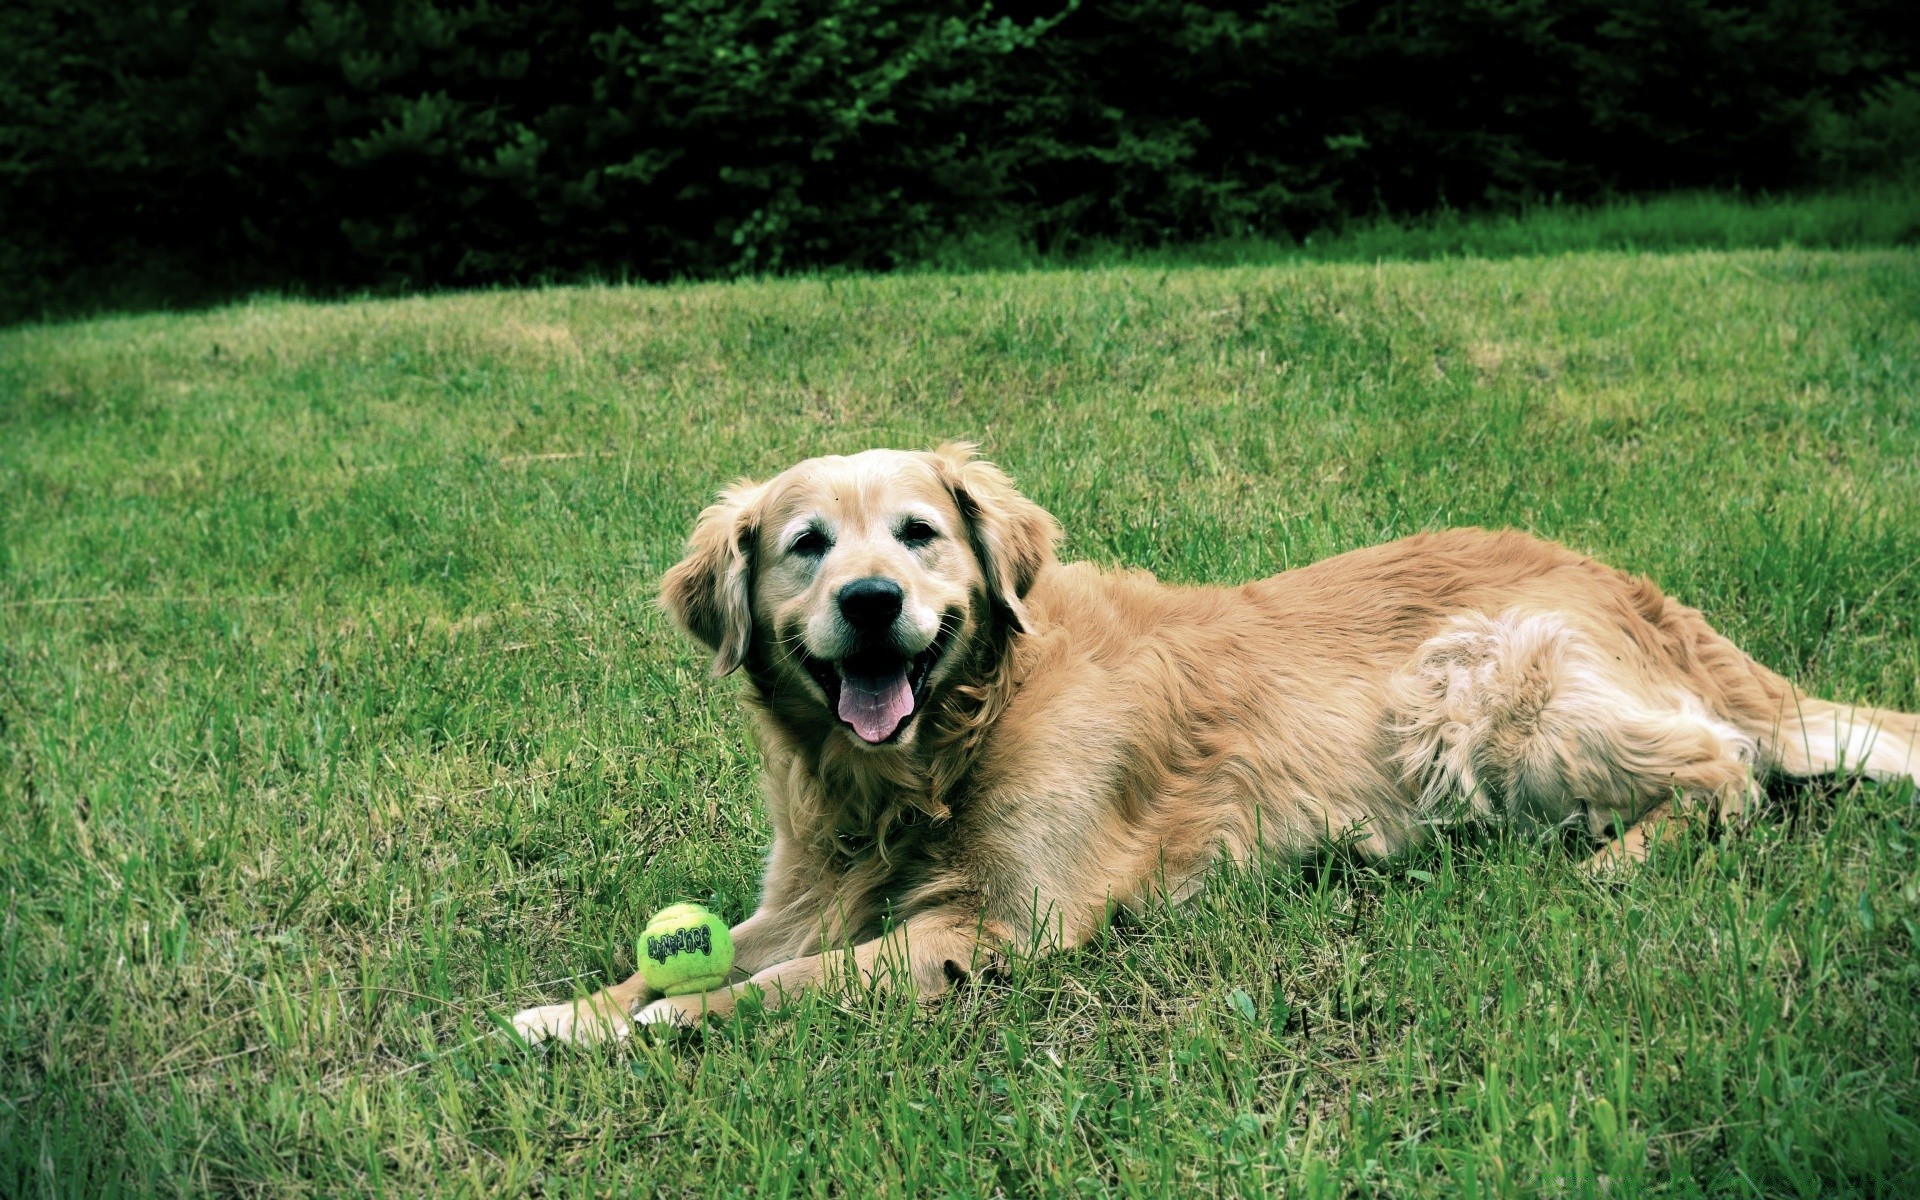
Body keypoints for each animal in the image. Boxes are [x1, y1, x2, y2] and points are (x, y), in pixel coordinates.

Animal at [514, 439, 1920, 1036]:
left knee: (1727, 776)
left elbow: (783, 986)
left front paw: (637, 1032)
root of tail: (1629, 583)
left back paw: (1620, 859)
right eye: (807, 545)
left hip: (1470, 689)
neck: (940, 751)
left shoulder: (1005, 924)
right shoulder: (807, 896)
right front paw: (563, 1012)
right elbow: (688, 959)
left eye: (917, 533)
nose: (870, 604)